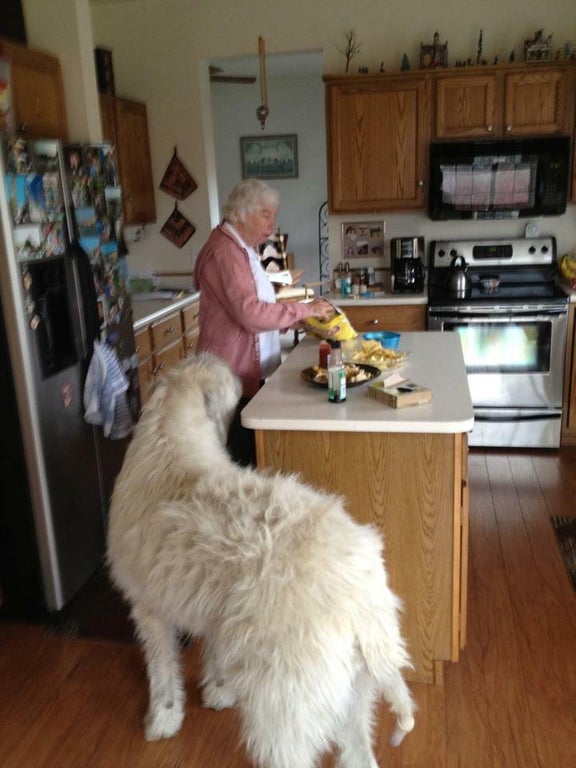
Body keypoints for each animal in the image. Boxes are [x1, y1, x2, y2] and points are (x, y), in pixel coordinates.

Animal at [107, 354, 414, 768]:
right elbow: (213, 654)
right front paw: (218, 691)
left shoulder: (150, 610)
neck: (169, 434)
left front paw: (163, 718)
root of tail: (364, 603)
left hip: (284, 713)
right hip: (351, 695)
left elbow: (162, 670)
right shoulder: (211, 612)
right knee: (359, 756)